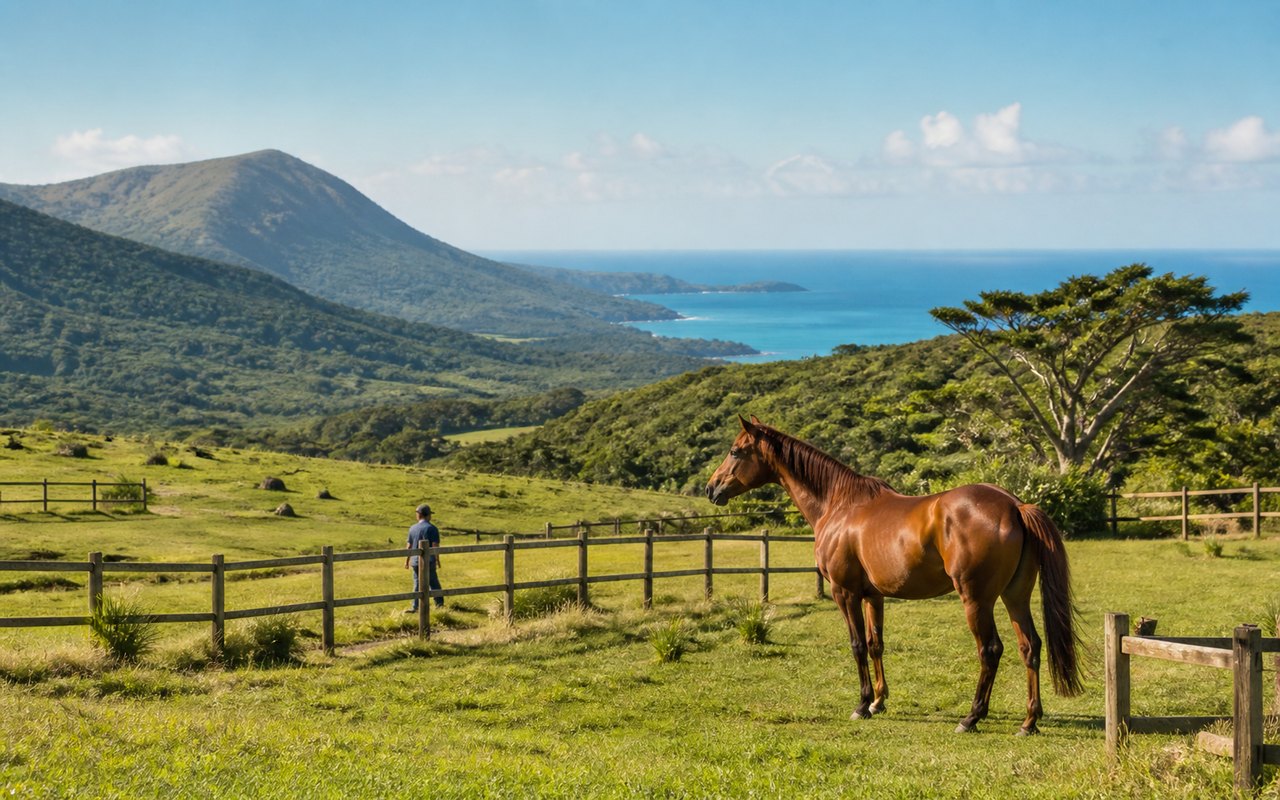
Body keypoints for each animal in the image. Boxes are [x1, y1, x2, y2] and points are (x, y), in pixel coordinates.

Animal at [705, 416, 1082, 734]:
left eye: (736, 451)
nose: (711, 489)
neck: (839, 504)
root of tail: (1014, 506)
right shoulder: (874, 595)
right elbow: (876, 645)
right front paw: (878, 701)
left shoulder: (844, 592)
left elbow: (857, 645)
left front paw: (861, 705)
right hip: (1014, 596)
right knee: (1029, 647)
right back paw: (1029, 721)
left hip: (977, 600)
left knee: (990, 650)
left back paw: (971, 718)